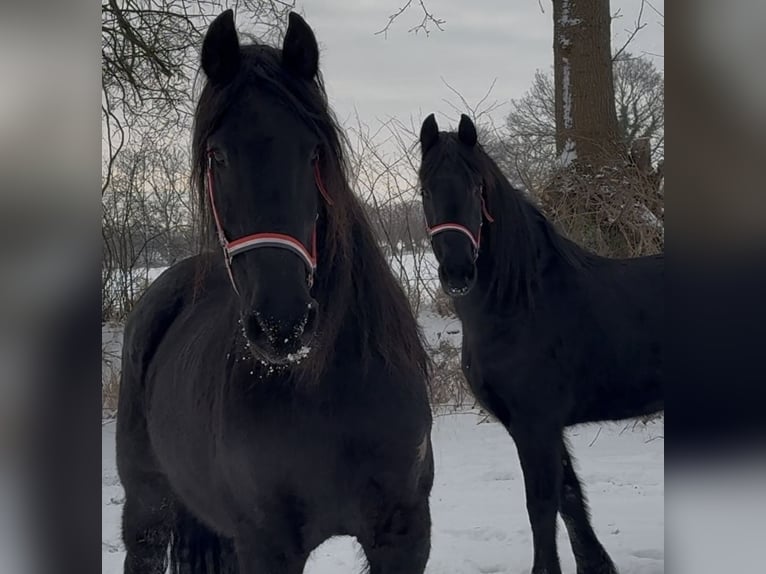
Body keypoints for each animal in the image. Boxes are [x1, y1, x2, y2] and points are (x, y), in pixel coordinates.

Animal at [116, 11, 434, 573]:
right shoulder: (266, 542)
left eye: (313, 152)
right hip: (148, 505)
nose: (282, 325)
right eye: (217, 155)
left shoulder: (405, 535)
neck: (328, 389)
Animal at [418, 113, 663, 574]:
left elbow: (542, 505)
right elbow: (569, 498)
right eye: (425, 189)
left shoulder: (536, 424)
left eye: (476, 187)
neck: (521, 302)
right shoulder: (537, 426)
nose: (458, 272)